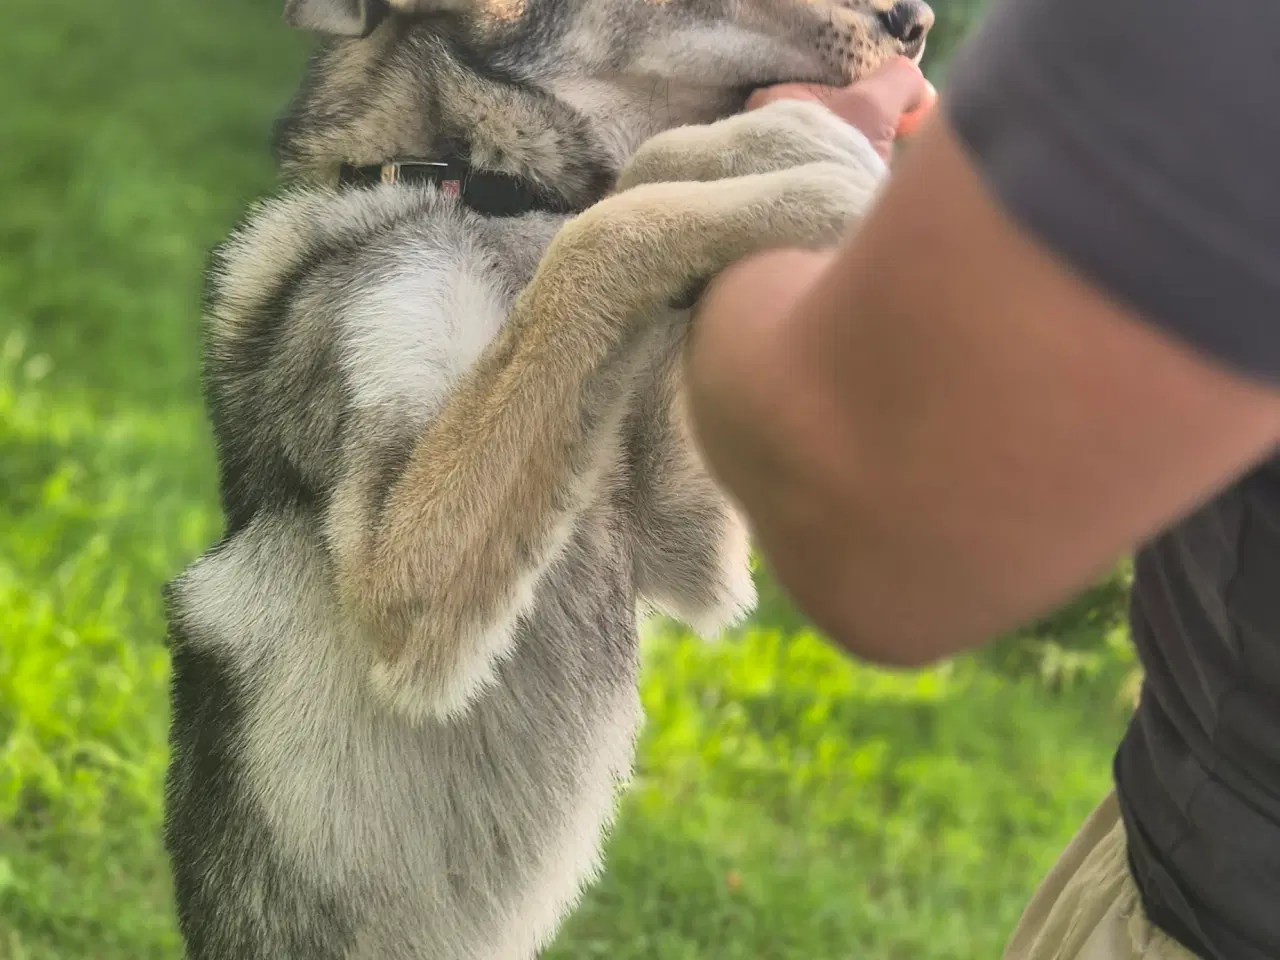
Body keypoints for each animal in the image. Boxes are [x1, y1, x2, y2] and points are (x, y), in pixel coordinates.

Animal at [162, 0, 931, 957]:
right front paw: (818, 191)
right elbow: (599, 234)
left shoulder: (690, 549)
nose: (918, 21)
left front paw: (770, 146)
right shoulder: (401, 575)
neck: (468, 183)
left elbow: (635, 182)